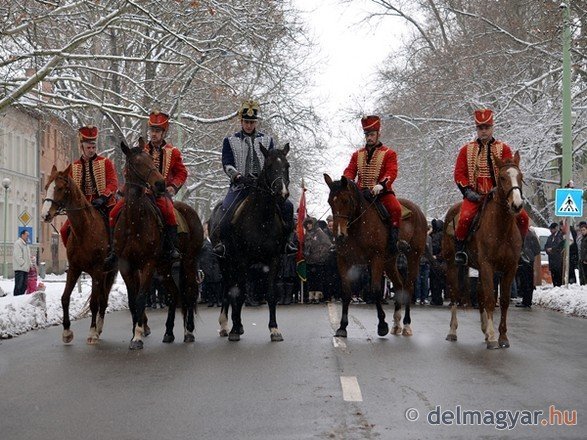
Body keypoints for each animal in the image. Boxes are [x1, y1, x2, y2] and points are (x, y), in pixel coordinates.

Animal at [40, 164, 117, 344]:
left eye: (60, 188)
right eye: (46, 187)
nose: (45, 214)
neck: (84, 230)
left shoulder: (96, 271)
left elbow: (94, 303)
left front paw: (91, 332)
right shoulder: (74, 269)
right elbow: (65, 297)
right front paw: (67, 331)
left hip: (112, 271)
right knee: (104, 299)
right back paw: (100, 328)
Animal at [116, 139, 206, 348]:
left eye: (151, 160)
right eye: (136, 162)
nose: (160, 184)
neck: (134, 222)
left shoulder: (148, 264)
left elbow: (141, 298)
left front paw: (138, 336)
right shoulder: (126, 266)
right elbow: (132, 301)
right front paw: (135, 332)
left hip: (188, 261)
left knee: (189, 293)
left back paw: (189, 332)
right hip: (164, 267)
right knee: (173, 293)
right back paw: (169, 332)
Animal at [211, 143, 292, 342]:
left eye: (287, 166)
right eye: (269, 166)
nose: (282, 193)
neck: (262, 218)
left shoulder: (274, 259)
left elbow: (270, 294)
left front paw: (274, 329)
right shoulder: (242, 259)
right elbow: (239, 293)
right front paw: (235, 329)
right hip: (224, 261)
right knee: (228, 288)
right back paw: (226, 325)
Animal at [324, 174, 430, 336]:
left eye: (345, 200)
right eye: (330, 201)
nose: (340, 235)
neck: (358, 225)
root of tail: (418, 210)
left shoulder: (376, 258)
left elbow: (375, 289)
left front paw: (382, 325)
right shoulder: (343, 260)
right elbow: (346, 291)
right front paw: (342, 327)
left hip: (413, 256)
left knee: (408, 286)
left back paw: (406, 324)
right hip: (390, 261)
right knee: (399, 285)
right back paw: (397, 323)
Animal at [444, 153, 524, 348]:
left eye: (521, 176)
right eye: (502, 177)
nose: (517, 205)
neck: (502, 229)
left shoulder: (509, 268)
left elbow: (503, 300)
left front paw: (502, 337)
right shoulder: (487, 265)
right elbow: (489, 299)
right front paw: (493, 337)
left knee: (479, 293)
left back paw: (484, 330)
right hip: (453, 264)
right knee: (455, 293)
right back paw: (452, 331)